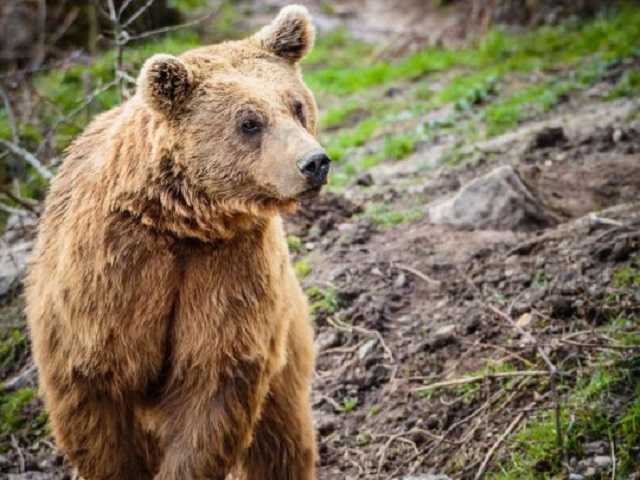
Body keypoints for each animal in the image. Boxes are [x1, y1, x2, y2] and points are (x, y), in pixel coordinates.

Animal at [25, 5, 328, 480]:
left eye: (297, 106)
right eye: (249, 122)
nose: (314, 162)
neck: (181, 220)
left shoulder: (230, 270)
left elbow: (213, 383)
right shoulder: (108, 277)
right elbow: (95, 397)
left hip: (288, 335)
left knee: (282, 435)